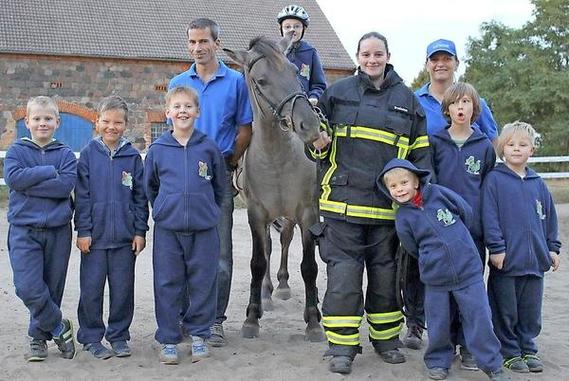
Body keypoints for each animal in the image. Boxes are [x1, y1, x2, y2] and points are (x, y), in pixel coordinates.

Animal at [225, 34, 324, 340]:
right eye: (261, 80)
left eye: (294, 71)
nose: (309, 125)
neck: (276, 156)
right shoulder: (256, 214)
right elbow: (258, 261)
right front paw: (252, 317)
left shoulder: (307, 213)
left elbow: (309, 266)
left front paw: (313, 320)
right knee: (270, 247)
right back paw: (268, 292)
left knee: (286, 241)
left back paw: (284, 287)